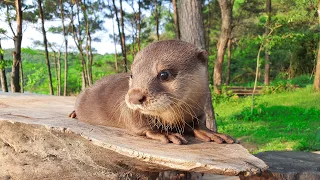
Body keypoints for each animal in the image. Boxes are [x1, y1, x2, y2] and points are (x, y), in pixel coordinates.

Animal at [70, 40, 234, 144]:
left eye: (164, 74)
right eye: (132, 74)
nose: (134, 97)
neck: (173, 118)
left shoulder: (199, 107)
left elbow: (199, 123)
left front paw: (210, 132)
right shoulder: (125, 108)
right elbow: (139, 124)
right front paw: (164, 133)